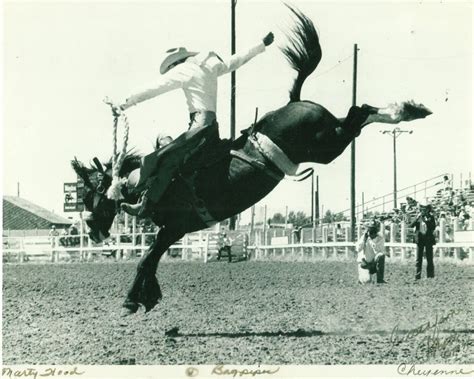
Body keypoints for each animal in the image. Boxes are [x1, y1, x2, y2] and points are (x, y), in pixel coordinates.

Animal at [72, 5, 432, 316]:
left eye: (89, 195)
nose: (92, 232)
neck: (152, 181)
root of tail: (296, 101)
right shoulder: (170, 231)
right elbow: (150, 260)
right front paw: (148, 296)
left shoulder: (174, 227)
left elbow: (146, 258)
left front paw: (133, 301)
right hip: (329, 141)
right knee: (357, 113)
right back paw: (412, 109)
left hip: (327, 145)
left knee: (360, 113)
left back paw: (406, 110)